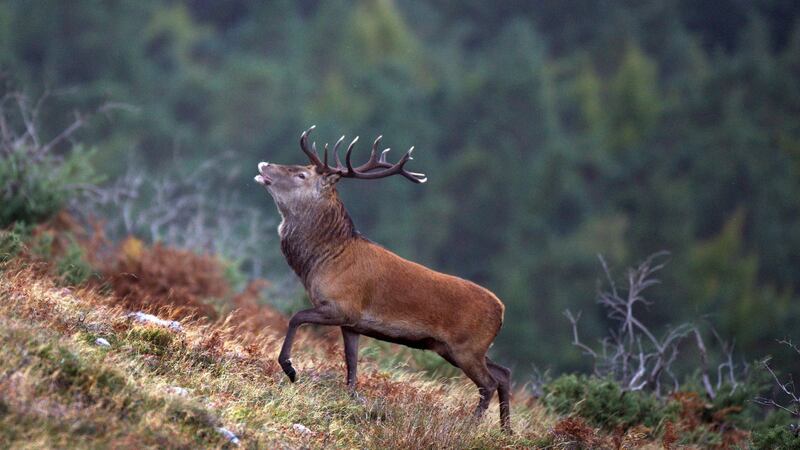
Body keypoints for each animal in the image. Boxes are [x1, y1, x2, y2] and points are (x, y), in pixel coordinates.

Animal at [254, 126, 512, 432]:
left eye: (301, 174)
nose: (264, 164)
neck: (321, 261)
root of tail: (501, 311)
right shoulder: (352, 323)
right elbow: (352, 363)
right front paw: (352, 398)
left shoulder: (342, 306)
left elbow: (296, 317)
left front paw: (290, 369)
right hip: (460, 349)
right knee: (504, 373)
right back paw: (506, 430)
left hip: (466, 347)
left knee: (488, 382)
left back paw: (469, 426)